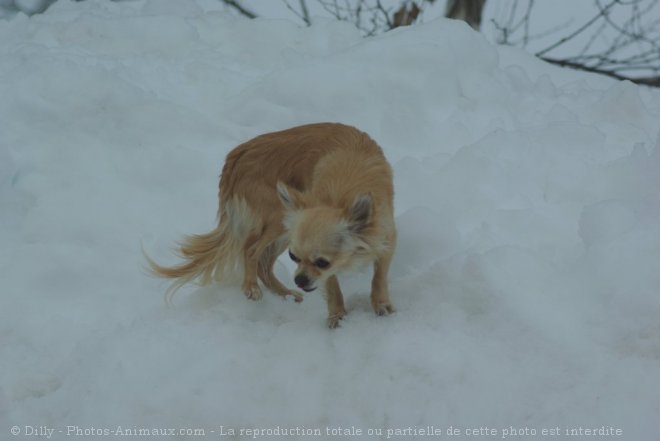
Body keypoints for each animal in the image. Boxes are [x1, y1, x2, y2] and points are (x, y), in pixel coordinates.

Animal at [148, 121, 398, 326]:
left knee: (264, 264)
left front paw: (381, 304)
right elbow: (333, 285)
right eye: (293, 257)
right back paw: (251, 287)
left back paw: (285, 294)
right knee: (250, 250)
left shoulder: (385, 237)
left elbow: (379, 276)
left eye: (322, 262)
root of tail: (237, 155)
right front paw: (337, 316)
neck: (339, 198)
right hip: (278, 217)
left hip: (285, 225)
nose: (299, 279)